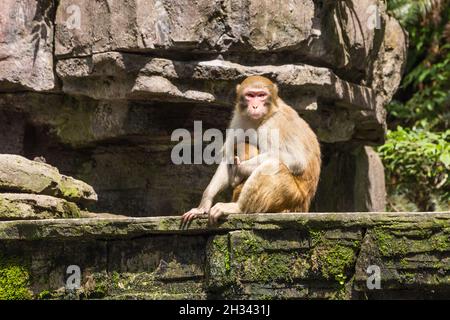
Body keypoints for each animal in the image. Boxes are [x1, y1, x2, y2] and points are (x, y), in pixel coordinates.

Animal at [181, 75, 322, 225]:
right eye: (250, 95)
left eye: (261, 95)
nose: (255, 106)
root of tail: (305, 205)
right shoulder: (239, 118)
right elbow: (228, 156)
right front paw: (203, 204)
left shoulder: (271, 125)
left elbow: (296, 160)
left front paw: (240, 169)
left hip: (293, 198)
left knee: (272, 165)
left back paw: (238, 207)